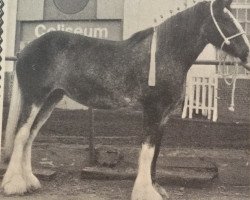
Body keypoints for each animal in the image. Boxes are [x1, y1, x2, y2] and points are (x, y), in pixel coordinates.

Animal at [2, 0, 250, 199]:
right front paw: (145, 192)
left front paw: (156, 188)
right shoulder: (153, 110)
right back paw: (14, 185)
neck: (164, 53)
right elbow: (147, 151)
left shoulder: (163, 116)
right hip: (35, 98)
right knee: (22, 134)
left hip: (51, 99)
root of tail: (25, 51)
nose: (247, 55)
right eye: (226, 20)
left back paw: (30, 182)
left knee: (30, 135)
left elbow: (155, 152)